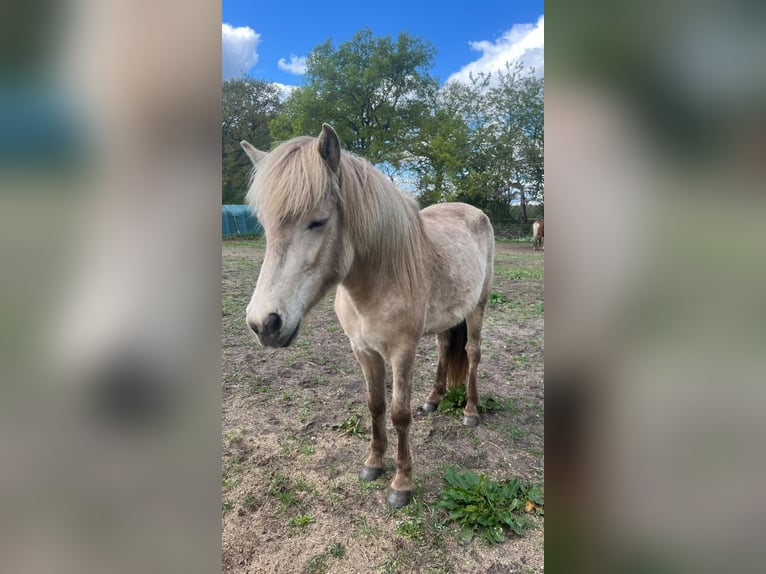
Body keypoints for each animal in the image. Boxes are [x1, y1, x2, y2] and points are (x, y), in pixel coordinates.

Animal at [241, 124, 495, 508]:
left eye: (318, 221)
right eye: (264, 225)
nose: (264, 324)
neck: (379, 279)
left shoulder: (402, 353)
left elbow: (399, 414)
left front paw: (401, 483)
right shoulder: (362, 350)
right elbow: (375, 405)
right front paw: (374, 463)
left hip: (478, 307)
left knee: (472, 354)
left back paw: (470, 412)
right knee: (444, 348)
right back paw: (433, 400)